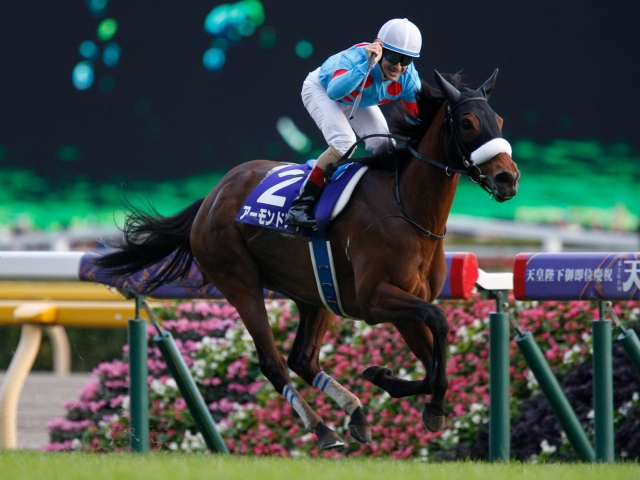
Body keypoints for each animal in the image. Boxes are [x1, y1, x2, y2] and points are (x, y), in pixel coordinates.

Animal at [95, 70, 520, 450]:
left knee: (303, 359)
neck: (407, 208)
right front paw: (416, 397)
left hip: (316, 292)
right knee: (273, 362)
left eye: (498, 120)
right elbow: (439, 323)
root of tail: (213, 195)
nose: (507, 178)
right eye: (466, 123)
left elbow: (432, 357)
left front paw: (389, 380)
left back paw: (355, 413)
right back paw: (323, 429)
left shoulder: (406, 302)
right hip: (239, 281)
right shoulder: (375, 299)